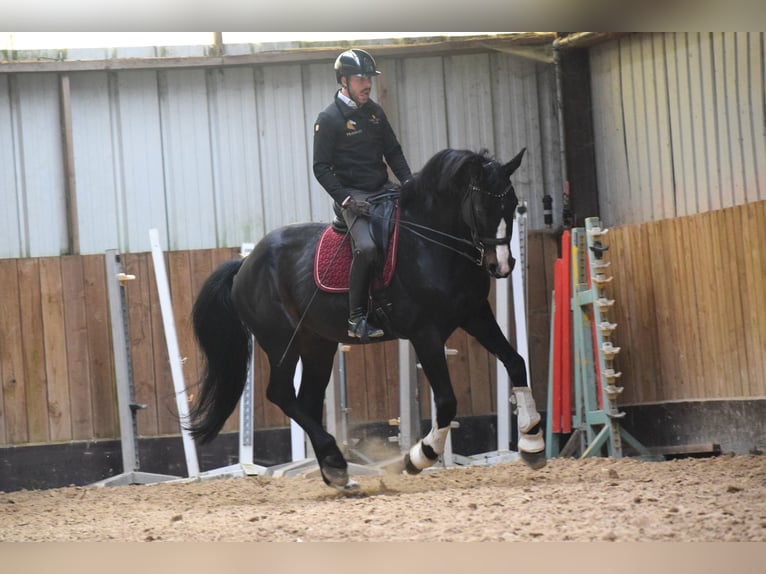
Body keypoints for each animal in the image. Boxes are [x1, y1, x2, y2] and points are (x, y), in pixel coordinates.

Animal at [188, 148, 544, 490]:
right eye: (482, 207)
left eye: (512, 204)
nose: (502, 265)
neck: (431, 242)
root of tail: (244, 267)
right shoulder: (425, 333)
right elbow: (446, 401)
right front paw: (419, 456)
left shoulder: (475, 314)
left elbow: (516, 362)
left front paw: (532, 441)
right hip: (281, 343)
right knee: (281, 394)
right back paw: (336, 461)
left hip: (318, 345)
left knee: (306, 401)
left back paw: (336, 471)